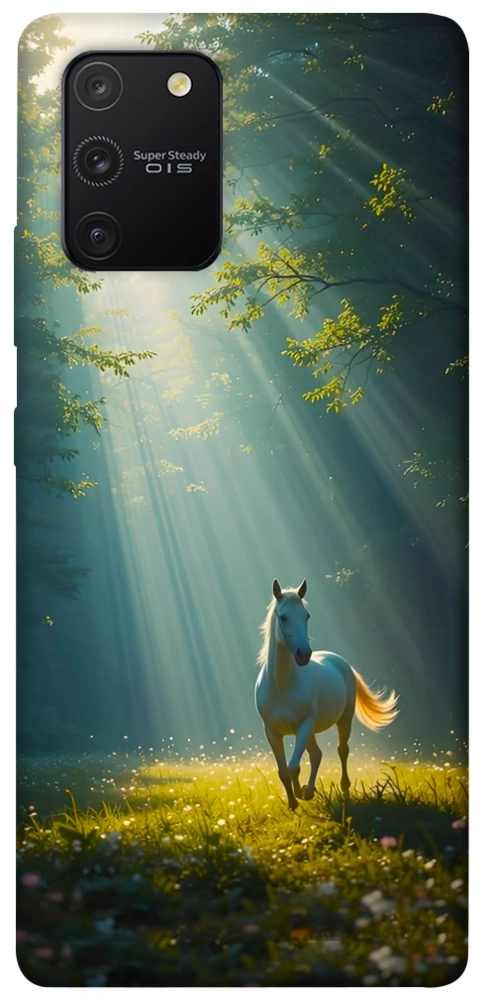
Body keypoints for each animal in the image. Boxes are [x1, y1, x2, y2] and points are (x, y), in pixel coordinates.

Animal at [255, 579, 399, 810]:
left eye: (306, 616)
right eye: (283, 617)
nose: (304, 654)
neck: (282, 686)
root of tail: (339, 661)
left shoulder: (304, 725)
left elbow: (294, 767)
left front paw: (300, 792)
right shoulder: (272, 732)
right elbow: (283, 771)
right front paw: (294, 802)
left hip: (343, 720)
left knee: (342, 751)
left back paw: (343, 789)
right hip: (310, 731)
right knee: (316, 755)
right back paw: (310, 791)